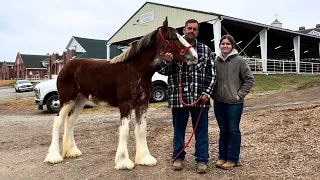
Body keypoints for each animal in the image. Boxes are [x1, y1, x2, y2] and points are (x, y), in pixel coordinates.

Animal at [42, 17, 198, 169]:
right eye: (174, 38)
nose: (195, 56)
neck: (136, 70)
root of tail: (65, 67)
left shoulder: (142, 104)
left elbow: (142, 129)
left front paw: (145, 159)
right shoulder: (126, 104)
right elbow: (124, 130)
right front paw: (123, 162)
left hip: (80, 100)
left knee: (70, 121)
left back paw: (72, 151)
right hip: (66, 100)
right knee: (58, 121)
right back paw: (54, 156)